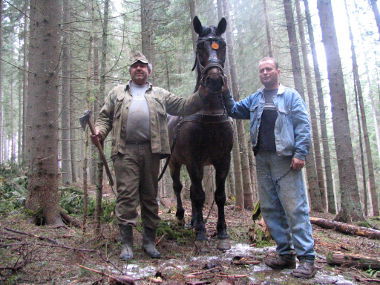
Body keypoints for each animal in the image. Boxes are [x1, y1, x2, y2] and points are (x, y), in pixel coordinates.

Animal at [168, 17, 233, 248]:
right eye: (199, 47)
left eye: (222, 45)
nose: (214, 80)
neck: (209, 115)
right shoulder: (193, 160)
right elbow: (198, 195)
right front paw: (202, 232)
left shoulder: (223, 160)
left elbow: (219, 195)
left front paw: (222, 230)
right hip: (175, 162)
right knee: (179, 187)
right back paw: (182, 217)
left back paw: (196, 220)